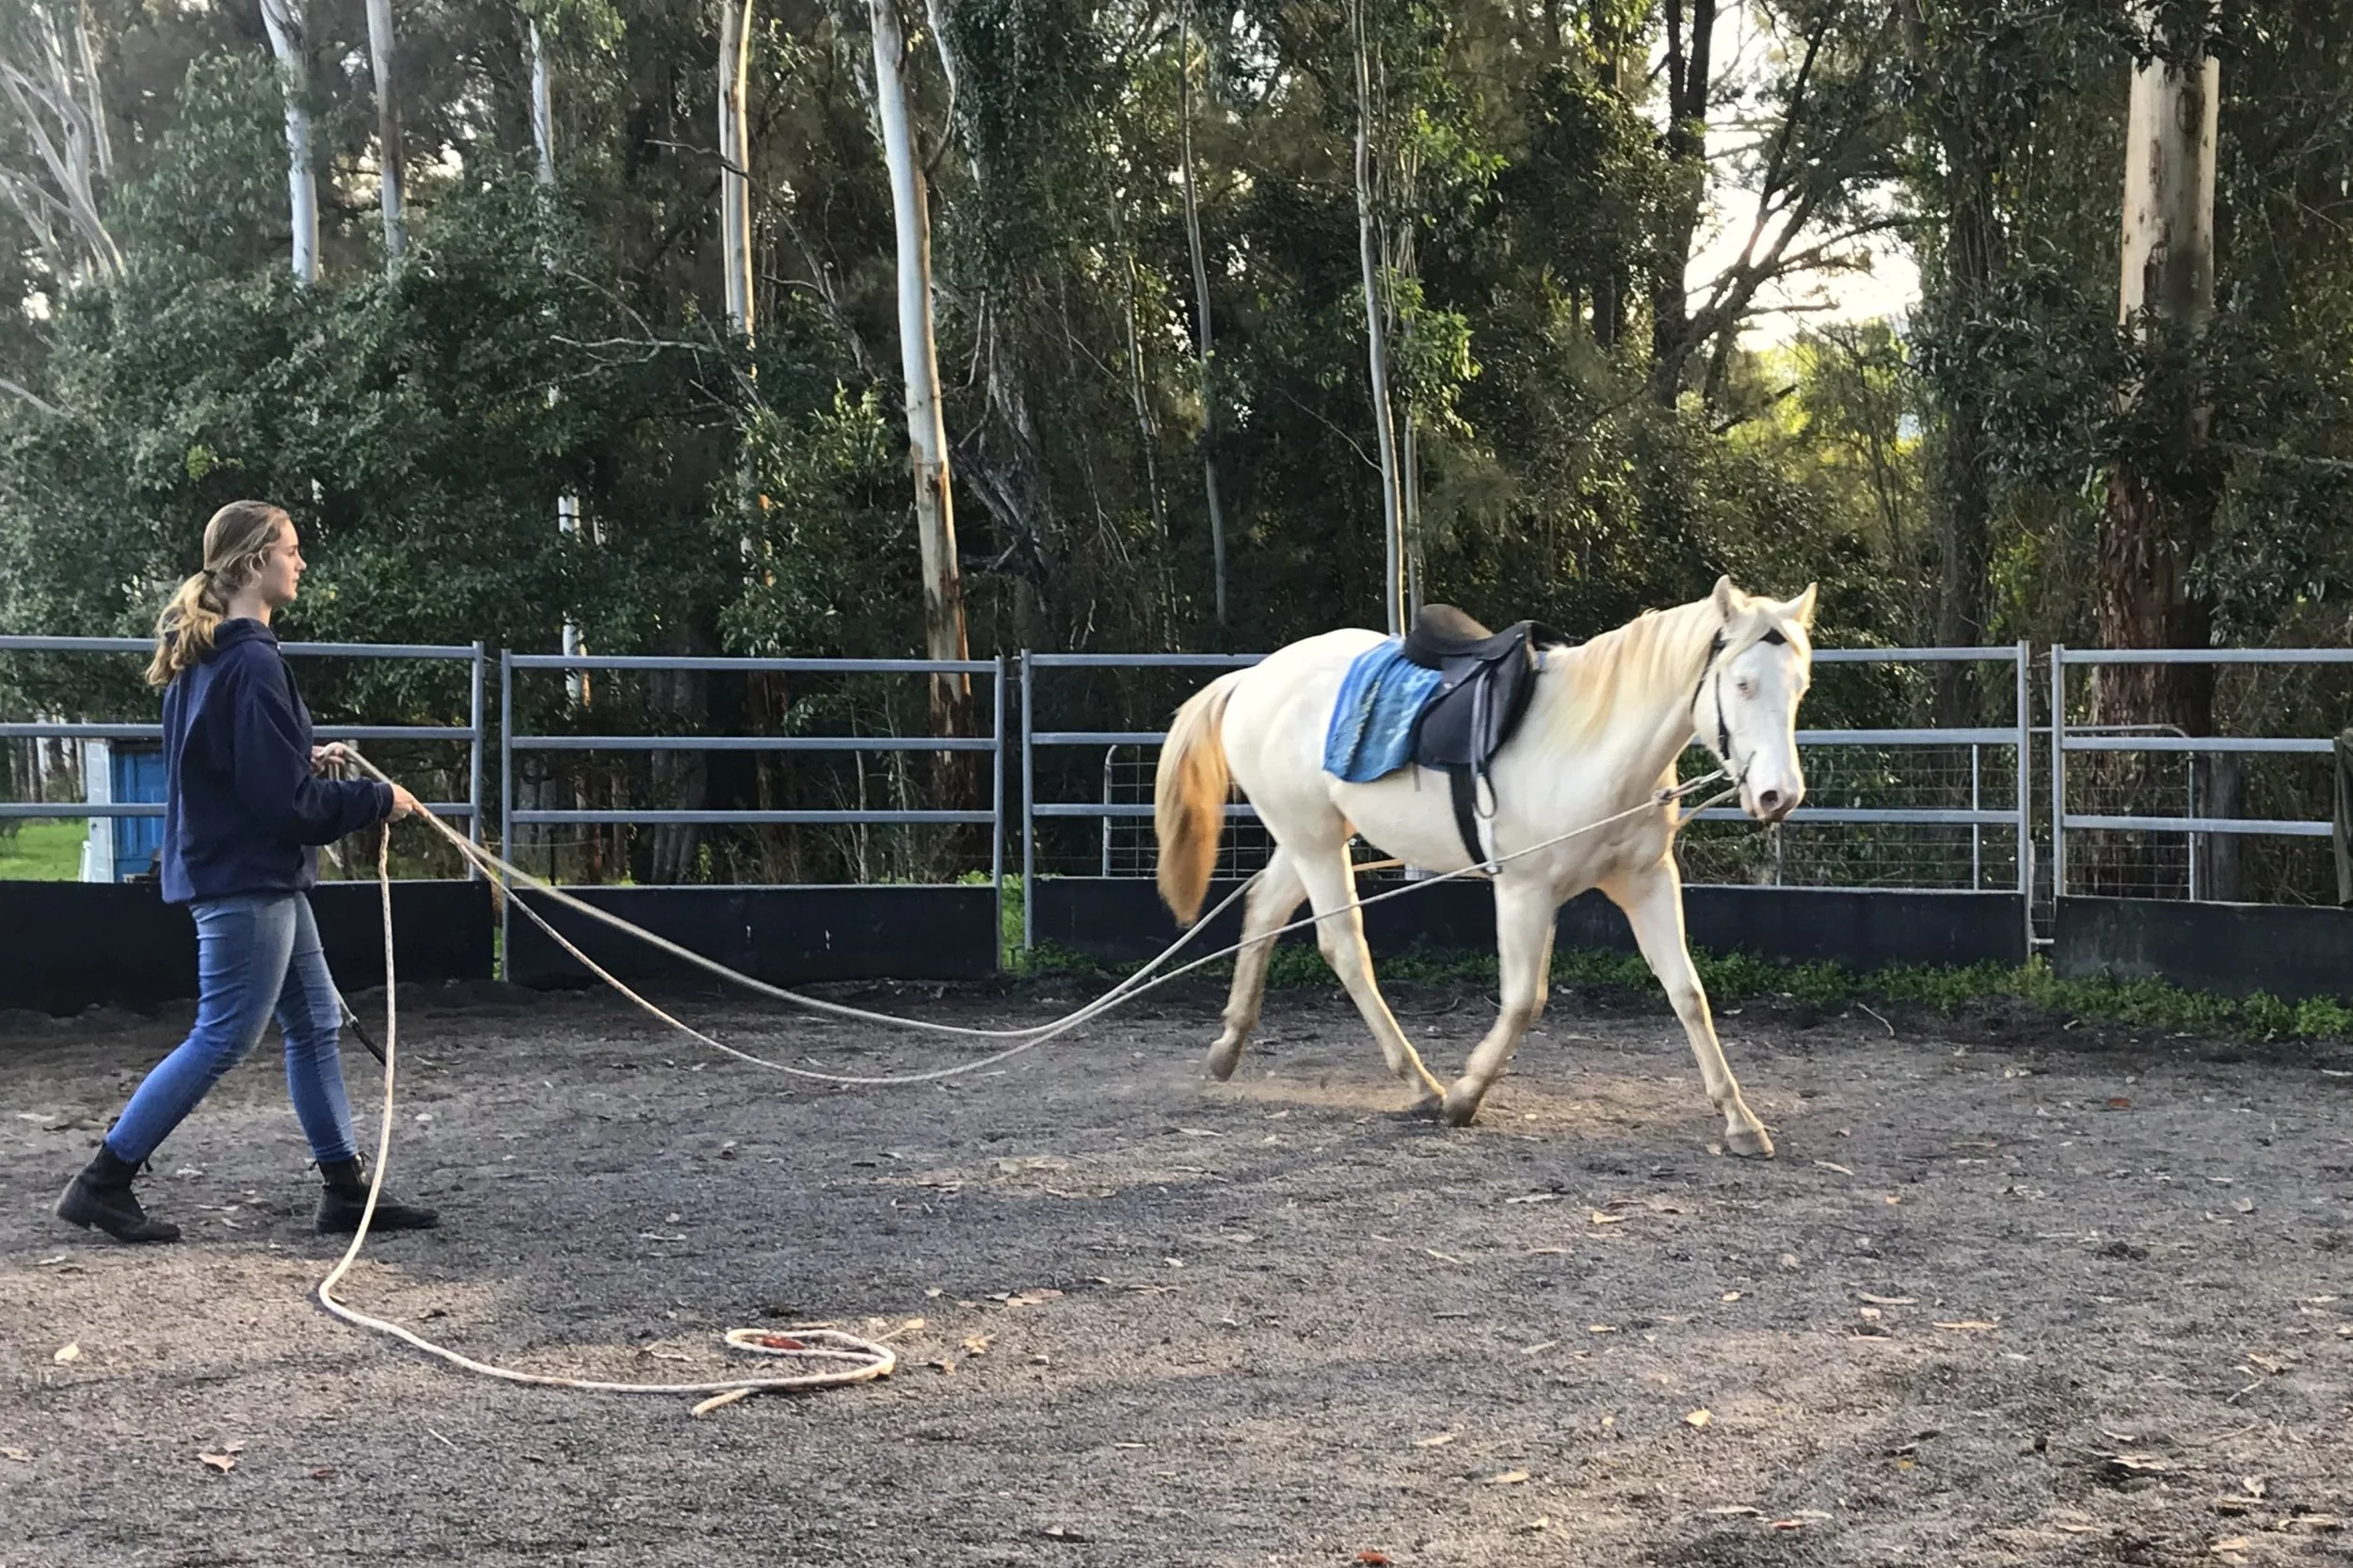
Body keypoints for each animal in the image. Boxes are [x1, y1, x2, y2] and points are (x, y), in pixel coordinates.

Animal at [1152, 576, 1816, 1155]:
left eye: (1800, 686)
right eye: (1743, 684)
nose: (1778, 796)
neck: (1592, 744)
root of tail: (1254, 678)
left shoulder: (1645, 883)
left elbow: (1687, 994)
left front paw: (1739, 1120)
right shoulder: (1525, 892)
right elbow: (1524, 1001)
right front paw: (1465, 1096)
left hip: (1309, 839)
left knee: (1264, 909)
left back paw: (1228, 1047)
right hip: (1314, 843)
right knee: (1343, 947)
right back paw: (1420, 1084)